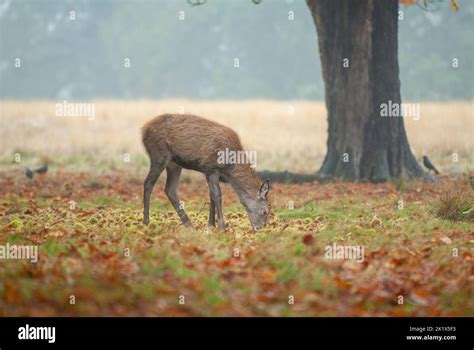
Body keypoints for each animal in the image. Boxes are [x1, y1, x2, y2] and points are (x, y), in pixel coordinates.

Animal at [140, 113, 270, 231]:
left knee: (170, 189)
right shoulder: (211, 168)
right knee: (148, 183)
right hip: (159, 154)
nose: (260, 228)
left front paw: (211, 225)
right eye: (264, 211)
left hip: (174, 164)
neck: (230, 170)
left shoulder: (208, 172)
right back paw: (146, 221)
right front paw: (222, 227)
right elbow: (217, 195)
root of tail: (144, 129)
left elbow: (211, 195)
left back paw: (189, 224)